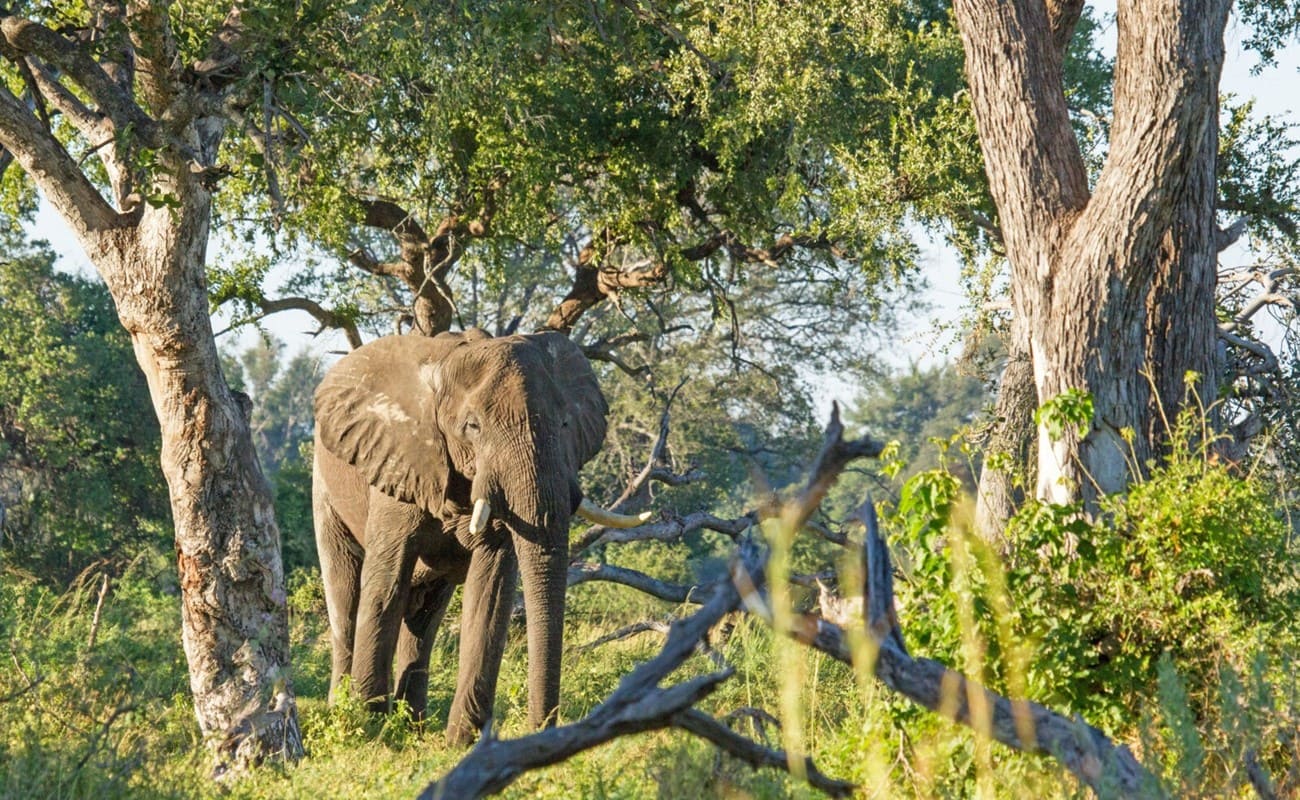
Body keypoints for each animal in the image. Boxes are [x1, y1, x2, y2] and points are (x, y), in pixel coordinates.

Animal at [311, 328, 646, 744]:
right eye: (472, 427)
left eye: (566, 425)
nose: (541, 729)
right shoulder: (398, 464)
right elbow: (385, 584)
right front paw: (370, 731)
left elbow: (491, 590)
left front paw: (462, 742)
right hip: (324, 486)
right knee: (345, 595)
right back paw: (347, 716)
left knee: (424, 615)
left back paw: (413, 727)